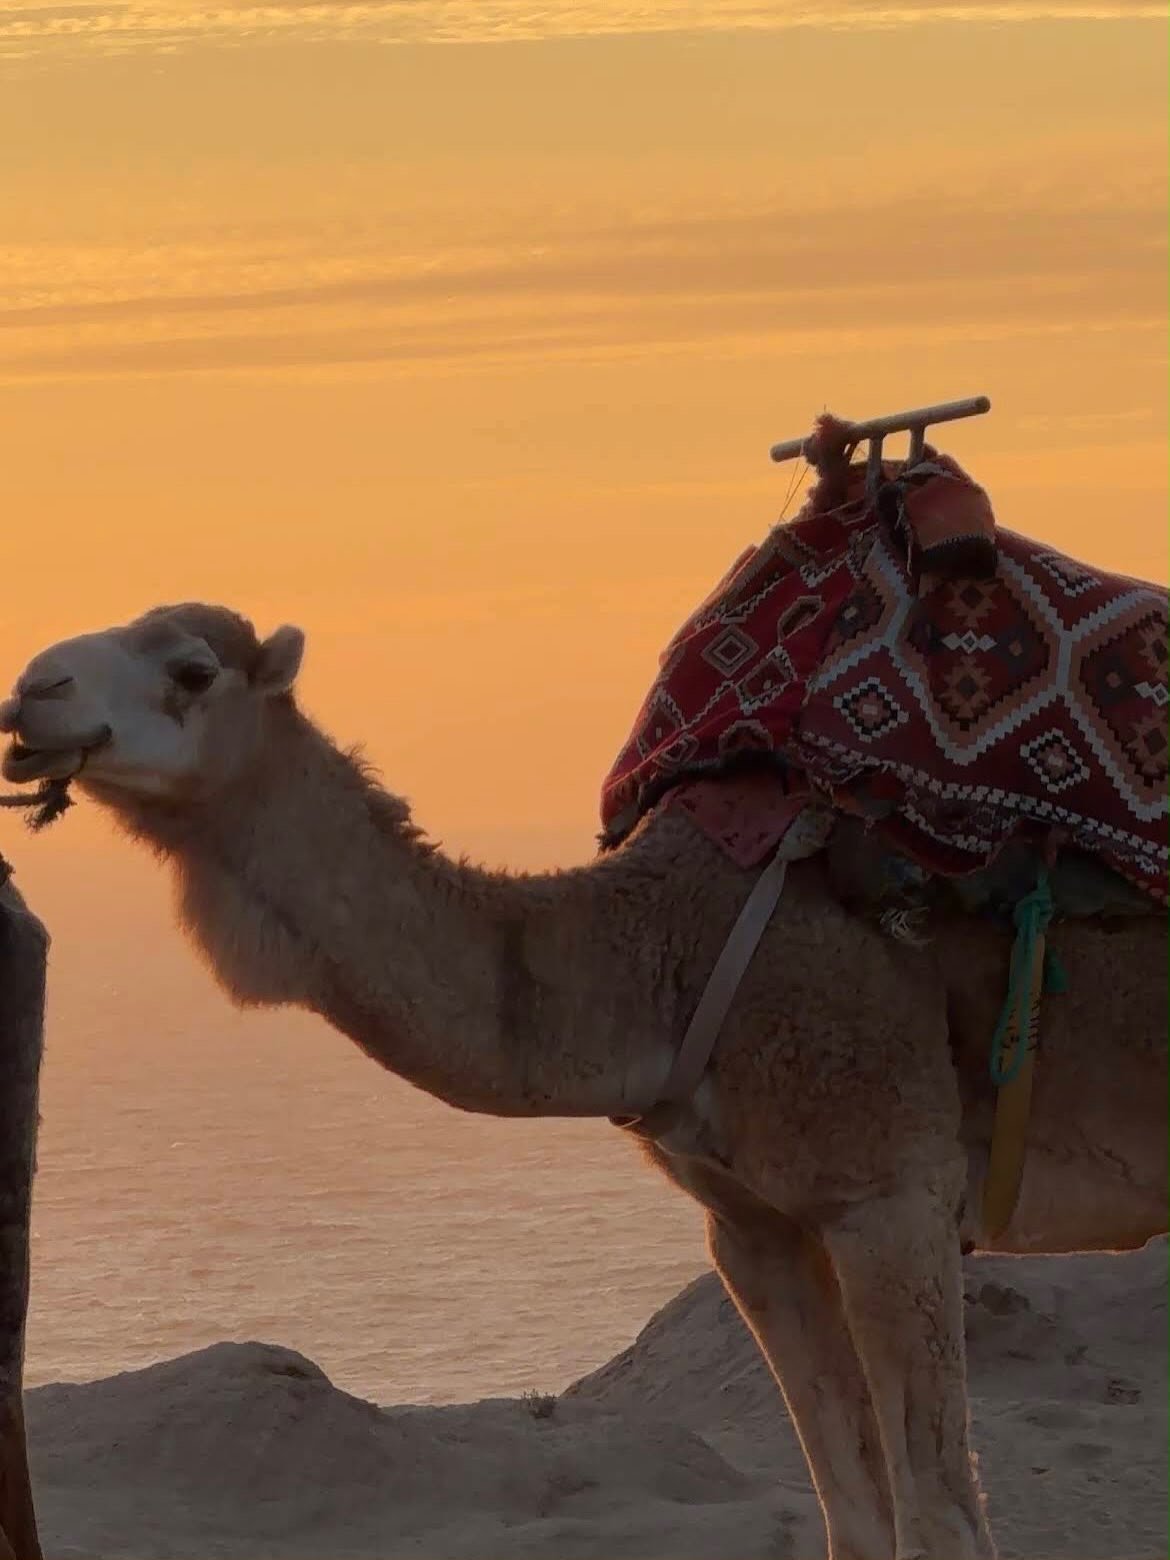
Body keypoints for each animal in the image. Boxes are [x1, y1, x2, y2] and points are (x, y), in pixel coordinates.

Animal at [0, 601, 1164, 1560]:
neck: (658, 957)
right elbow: (854, 1516)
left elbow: (940, 1521)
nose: (32, 691)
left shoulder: (889, 1191)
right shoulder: (750, 1222)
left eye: (191, 670)